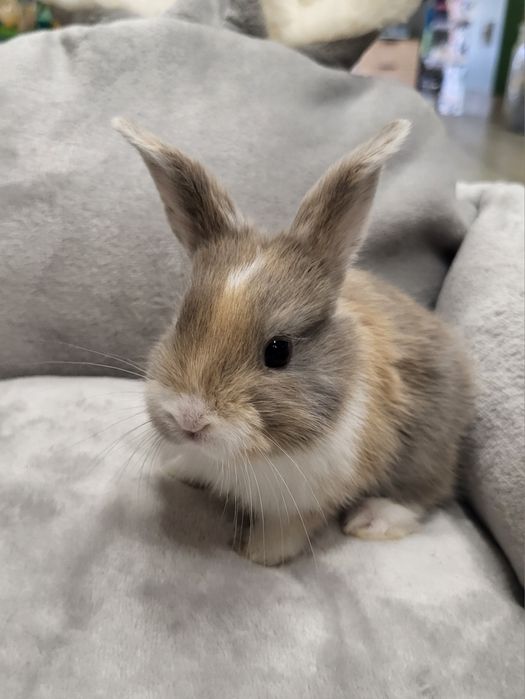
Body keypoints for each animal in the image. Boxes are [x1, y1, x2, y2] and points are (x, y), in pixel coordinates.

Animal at [114, 117, 474, 566]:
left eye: (278, 351)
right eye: (181, 321)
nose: (189, 419)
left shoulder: (314, 493)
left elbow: (291, 525)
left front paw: (259, 553)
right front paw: (180, 469)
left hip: (427, 444)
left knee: (428, 490)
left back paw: (373, 519)